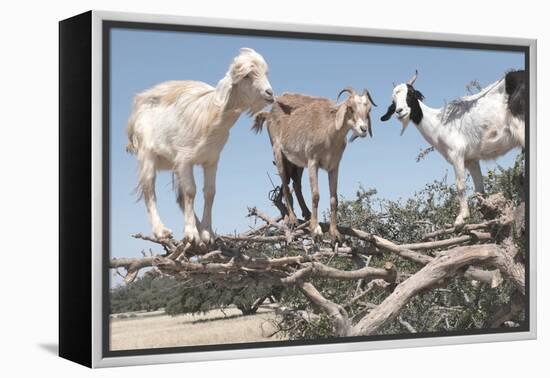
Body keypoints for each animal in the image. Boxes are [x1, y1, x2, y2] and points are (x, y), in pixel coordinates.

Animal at [126, 48, 274, 242]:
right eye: (247, 76)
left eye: (266, 72)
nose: (270, 93)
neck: (211, 117)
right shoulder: (185, 159)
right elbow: (191, 191)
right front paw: (191, 233)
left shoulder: (211, 160)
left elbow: (209, 192)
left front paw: (206, 232)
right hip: (147, 155)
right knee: (149, 190)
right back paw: (161, 231)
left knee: (179, 197)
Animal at [382, 70, 528, 226]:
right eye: (393, 101)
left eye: (410, 93)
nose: (399, 111)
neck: (439, 123)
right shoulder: (471, 160)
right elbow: (479, 190)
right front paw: (485, 219)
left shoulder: (456, 154)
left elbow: (460, 185)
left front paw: (461, 218)